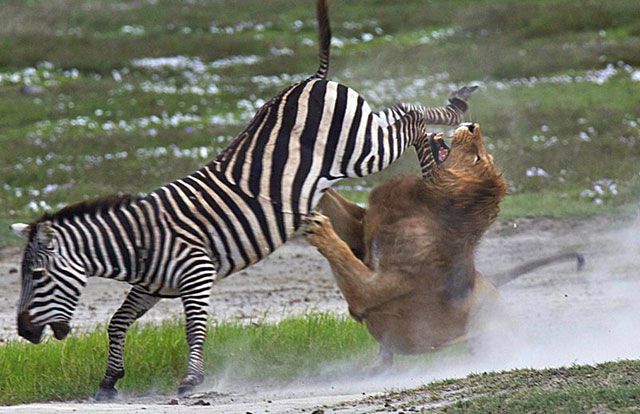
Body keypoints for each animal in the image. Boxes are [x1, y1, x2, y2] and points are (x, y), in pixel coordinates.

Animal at [9, 0, 476, 399]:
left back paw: (446, 135)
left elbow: (193, 327)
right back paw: (438, 151)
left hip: (361, 147)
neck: (138, 241)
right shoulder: (151, 286)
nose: (24, 333)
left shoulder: (196, 272)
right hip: (361, 135)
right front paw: (109, 380)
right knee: (402, 115)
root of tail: (312, 79)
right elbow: (117, 322)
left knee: (409, 118)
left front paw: (191, 380)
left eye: (35, 275)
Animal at [303, 123, 584, 368]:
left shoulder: (373, 290)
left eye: (478, 158)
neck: (424, 203)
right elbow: (329, 195)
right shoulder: (360, 230)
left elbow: (344, 256)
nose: (473, 126)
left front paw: (319, 227)